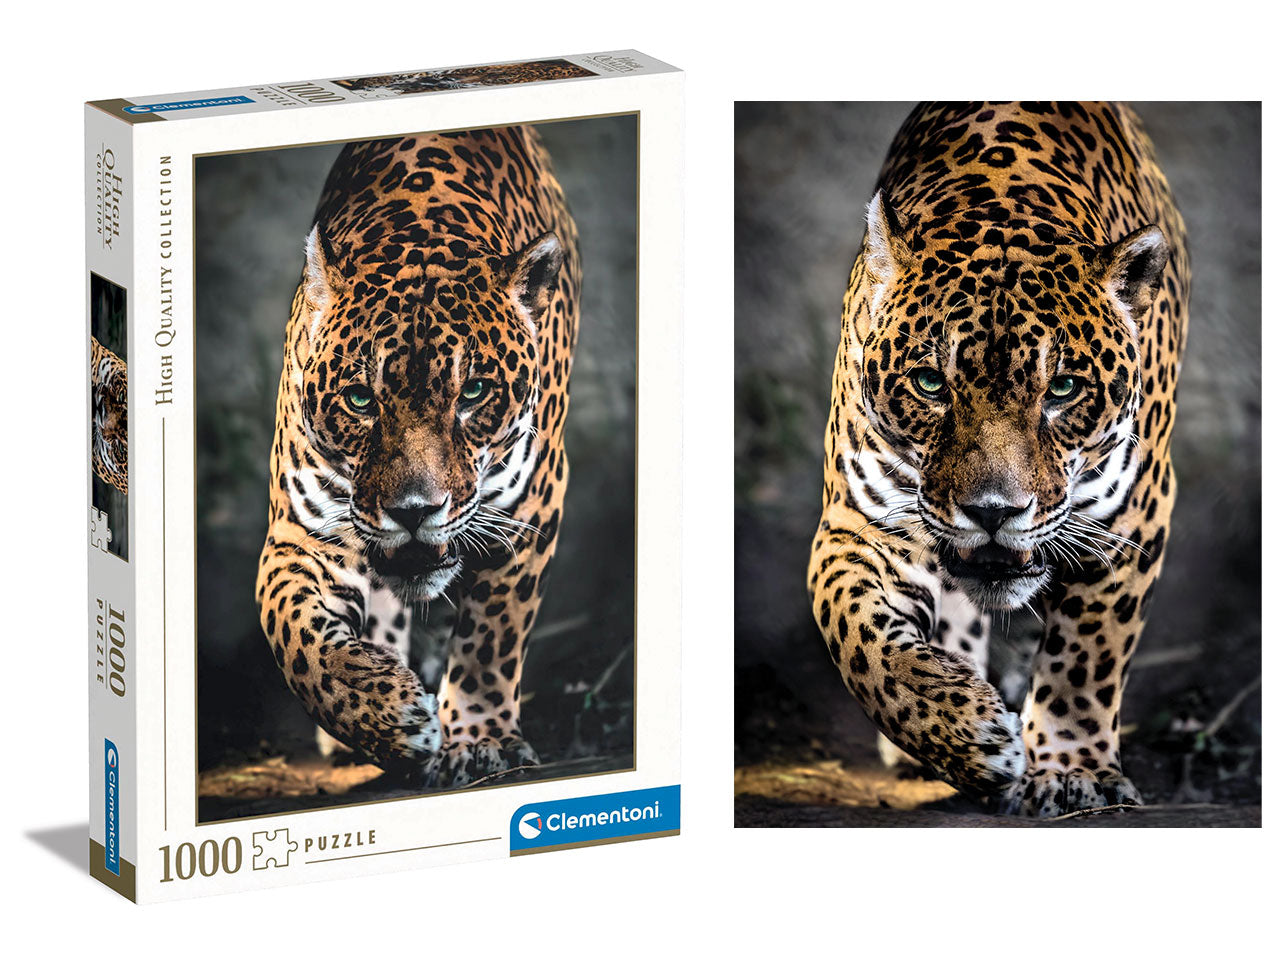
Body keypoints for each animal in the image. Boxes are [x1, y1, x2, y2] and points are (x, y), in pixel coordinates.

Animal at [256, 125, 580, 787]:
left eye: (474, 392)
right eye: (359, 399)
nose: (413, 511)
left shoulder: (530, 507)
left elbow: (492, 634)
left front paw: (480, 740)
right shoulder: (302, 532)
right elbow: (293, 633)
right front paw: (387, 714)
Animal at [808, 102, 1188, 817]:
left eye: (1062, 389)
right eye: (931, 384)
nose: (993, 512)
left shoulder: (1132, 518)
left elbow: (1086, 655)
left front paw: (1071, 771)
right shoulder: (859, 521)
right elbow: (857, 635)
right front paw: (965, 734)